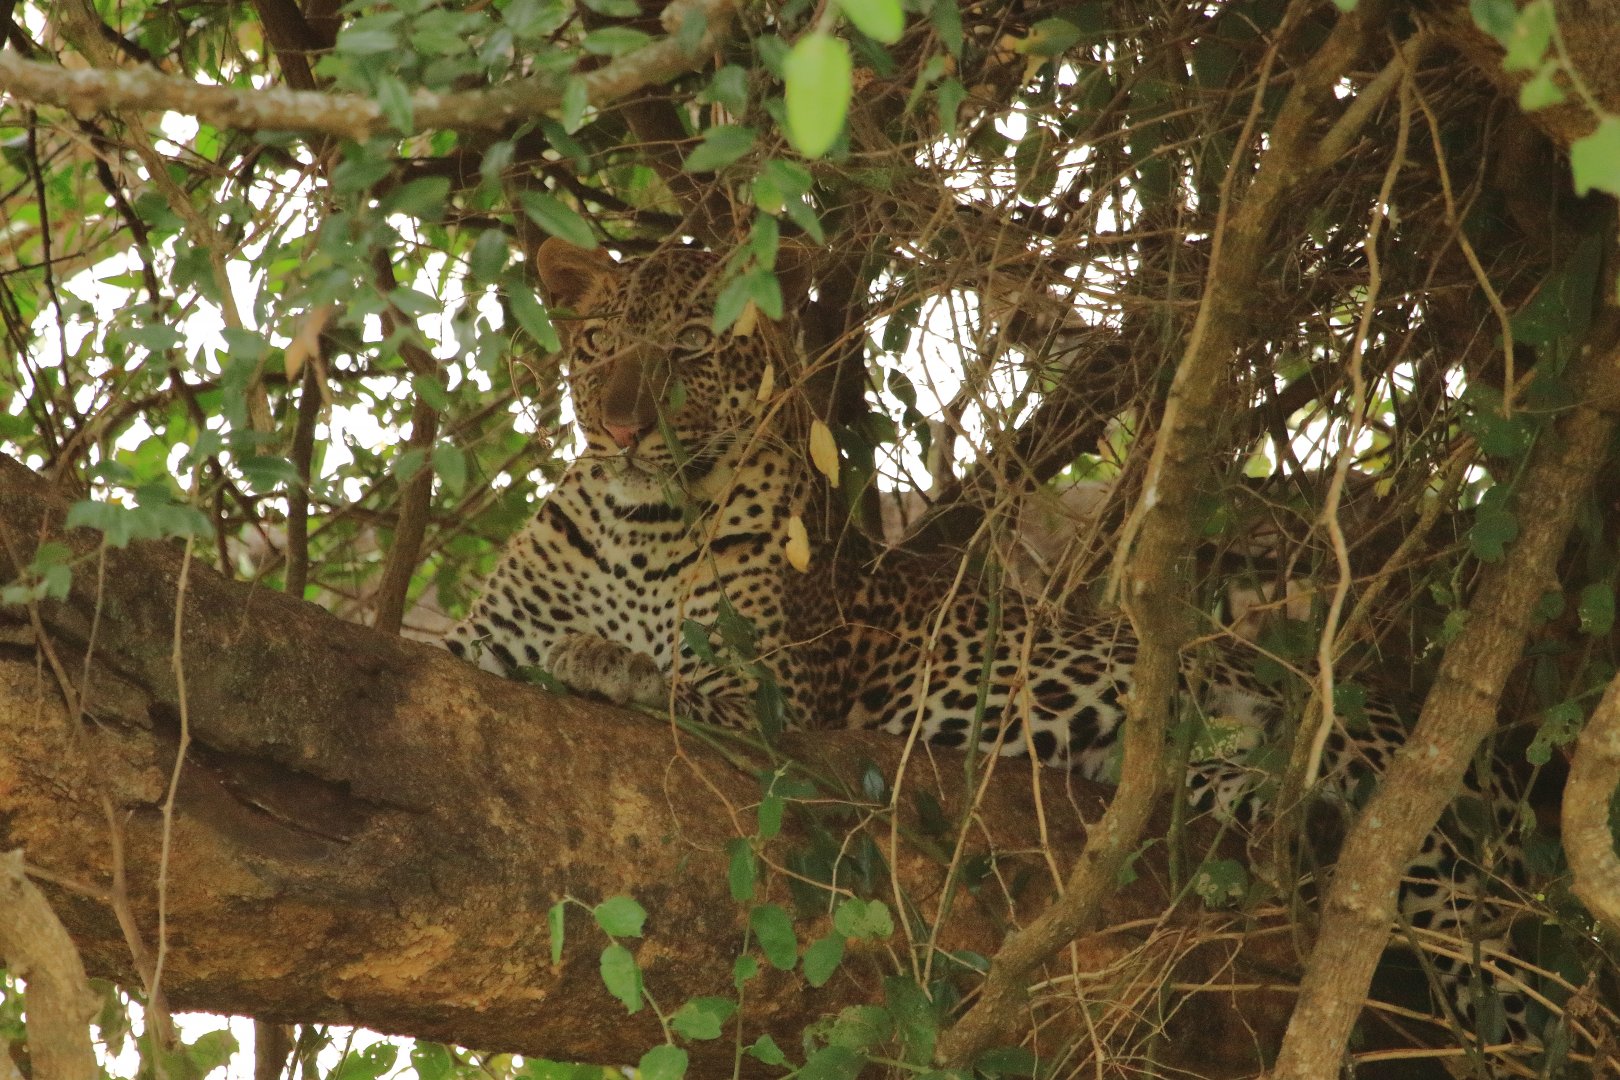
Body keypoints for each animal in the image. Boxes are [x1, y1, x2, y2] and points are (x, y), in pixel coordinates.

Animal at [446, 237, 1536, 1063]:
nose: (622, 425)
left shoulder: (770, 694)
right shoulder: (474, 641)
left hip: (1390, 782)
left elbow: (671, 677)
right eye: (597, 345)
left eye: (687, 350)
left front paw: (601, 659)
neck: (642, 521)